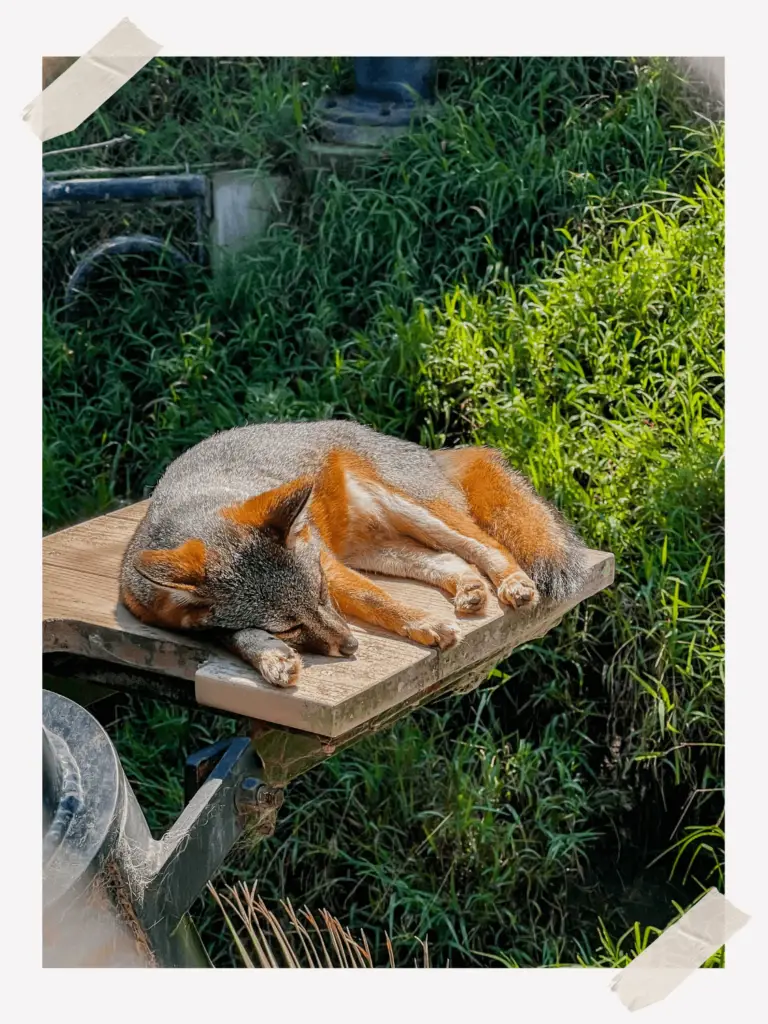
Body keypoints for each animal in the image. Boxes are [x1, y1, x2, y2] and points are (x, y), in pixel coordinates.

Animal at [121, 419, 589, 692]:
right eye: (289, 628)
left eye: (322, 595)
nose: (349, 646)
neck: (197, 508)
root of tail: (427, 451)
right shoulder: (175, 620)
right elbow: (234, 636)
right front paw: (272, 657)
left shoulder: (326, 565)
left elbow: (372, 597)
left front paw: (422, 624)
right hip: (380, 551)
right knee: (451, 561)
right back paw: (471, 591)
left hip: (414, 513)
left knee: (486, 545)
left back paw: (513, 583)